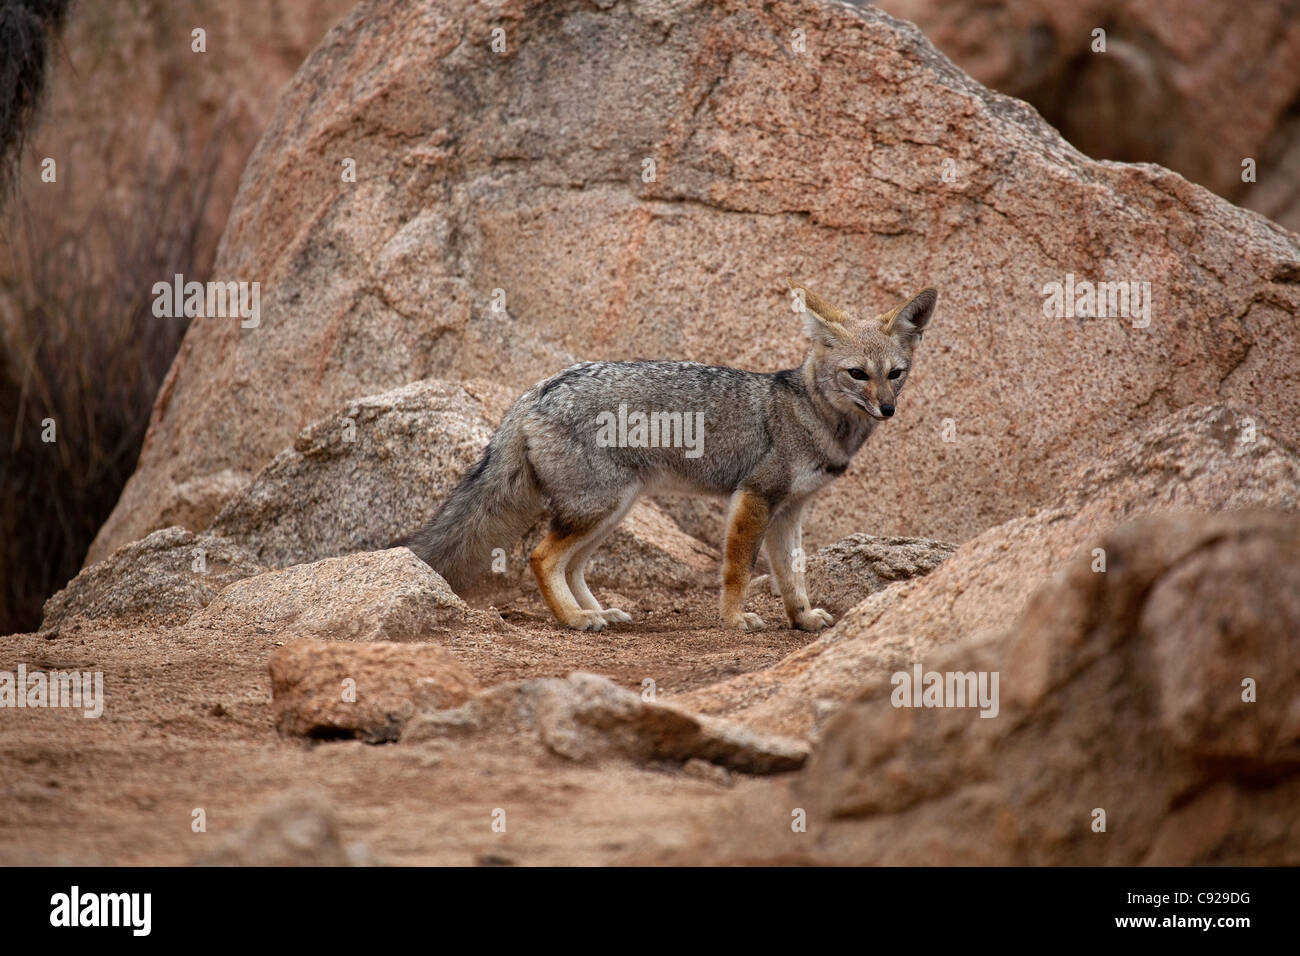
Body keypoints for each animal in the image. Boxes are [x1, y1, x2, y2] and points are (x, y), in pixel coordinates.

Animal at [403, 280, 935, 632]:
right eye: (857, 374)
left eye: (896, 373)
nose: (888, 408)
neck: (811, 413)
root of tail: (538, 390)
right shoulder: (755, 497)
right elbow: (739, 568)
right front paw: (734, 619)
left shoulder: (790, 510)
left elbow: (793, 574)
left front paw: (802, 618)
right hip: (599, 508)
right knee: (541, 557)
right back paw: (575, 619)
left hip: (612, 512)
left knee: (571, 566)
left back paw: (596, 611)